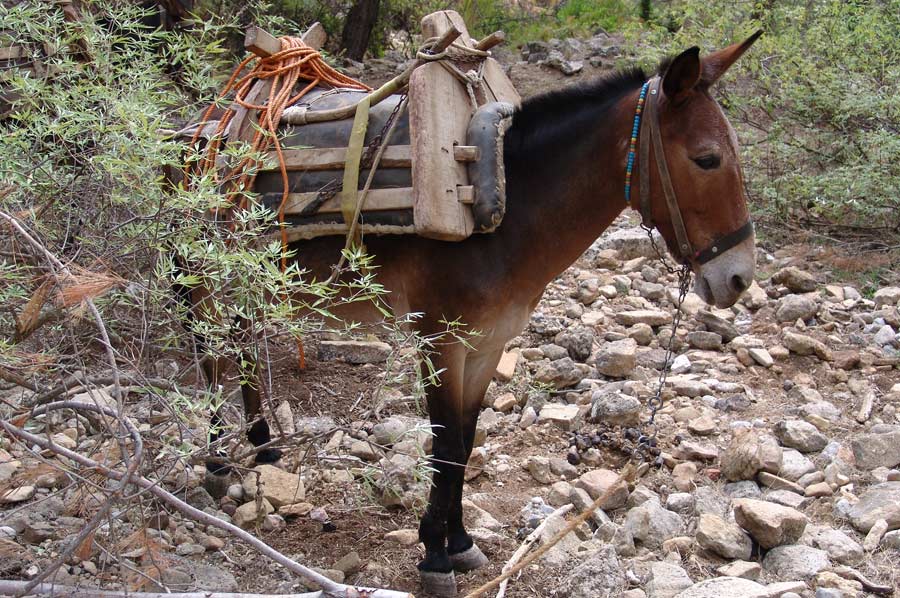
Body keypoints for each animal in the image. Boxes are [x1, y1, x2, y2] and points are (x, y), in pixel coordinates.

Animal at [190, 32, 762, 596]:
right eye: (707, 159)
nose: (739, 278)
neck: (503, 207)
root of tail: (205, 125)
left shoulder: (488, 345)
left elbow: (465, 444)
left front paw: (460, 541)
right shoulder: (441, 342)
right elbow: (445, 446)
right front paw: (435, 556)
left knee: (238, 344)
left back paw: (263, 446)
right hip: (205, 273)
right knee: (209, 352)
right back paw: (217, 460)